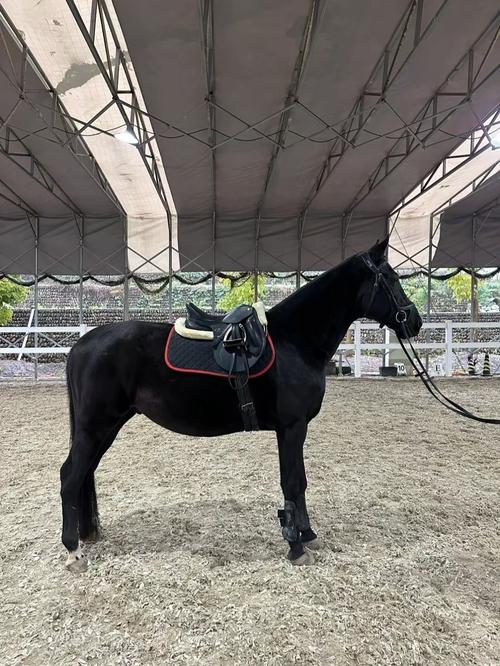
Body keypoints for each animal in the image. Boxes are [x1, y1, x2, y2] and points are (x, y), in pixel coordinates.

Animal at [60, 237, 422, 571]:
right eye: (391, 278)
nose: (414, 321)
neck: (295, 341)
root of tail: (81, 344)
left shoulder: (293, 429)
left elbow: (300, 481)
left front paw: (307, 534)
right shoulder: (291, 427)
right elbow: (292, 481)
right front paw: (295, 545)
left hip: (105, 428)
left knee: (83, 474)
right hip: (97, 426)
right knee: (70, 477)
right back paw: (73, 550)